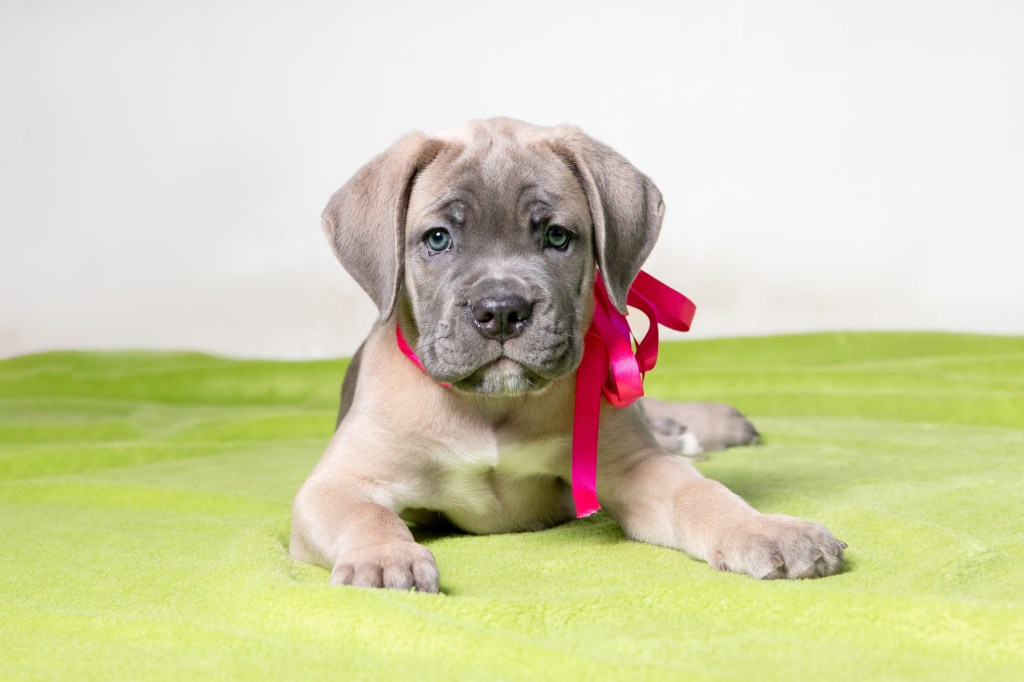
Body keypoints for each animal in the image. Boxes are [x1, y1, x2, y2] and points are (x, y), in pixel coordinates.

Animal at [290, 116, 847, 589]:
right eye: (439, 239)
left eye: (557, 236)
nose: (502, 310)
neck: (493, 408)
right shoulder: (335, 485)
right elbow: (366, 512)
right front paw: (385, 557)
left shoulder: (636, 466)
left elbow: (701, 492)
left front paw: (767, 528)